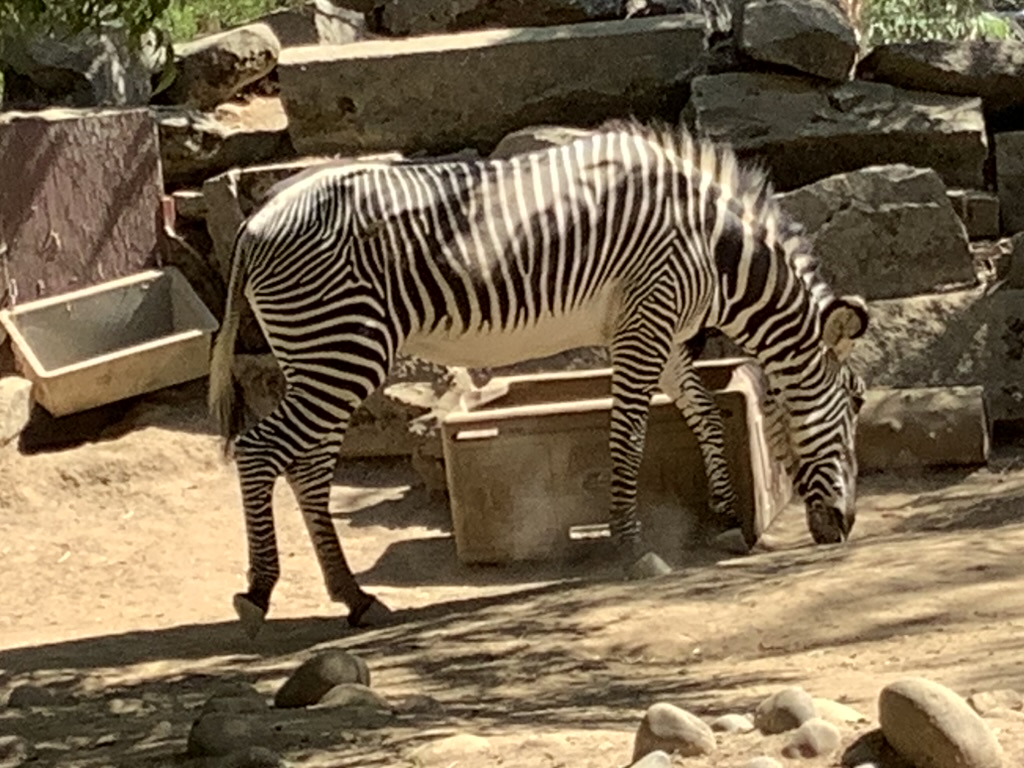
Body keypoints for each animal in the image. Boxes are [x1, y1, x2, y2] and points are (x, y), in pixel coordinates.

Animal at [211, 120, 868, 638]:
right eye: (856, 404)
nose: (846, 527)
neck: (715, 248)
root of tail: (256, 217)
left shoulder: (665, 331)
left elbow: (704, 413)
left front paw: (730, 519)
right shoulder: (644, 322)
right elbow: (627, 435)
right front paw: (633, 549)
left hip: (318, 356)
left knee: (307, 470)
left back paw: (355, 597)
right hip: (343, 348)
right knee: (260, 450)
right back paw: (259, 592)